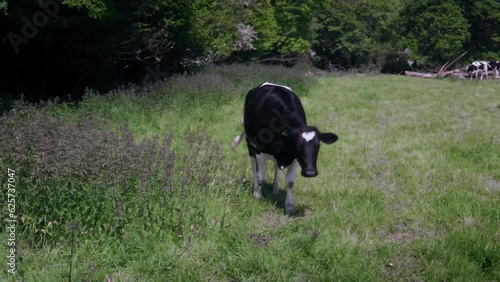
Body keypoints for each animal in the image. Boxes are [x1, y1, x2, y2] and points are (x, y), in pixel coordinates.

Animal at [232, 81, 338, 214]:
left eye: (318, 146)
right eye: (298, 146)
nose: (310, 172)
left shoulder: (295, 158)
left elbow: (290, 182)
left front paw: (289, 206)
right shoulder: (260, 151)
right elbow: (262, 177)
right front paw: (257, 196)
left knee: (275, 167)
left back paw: (275, 188)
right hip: (249, 143)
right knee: (253, 165)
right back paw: (256, 187)